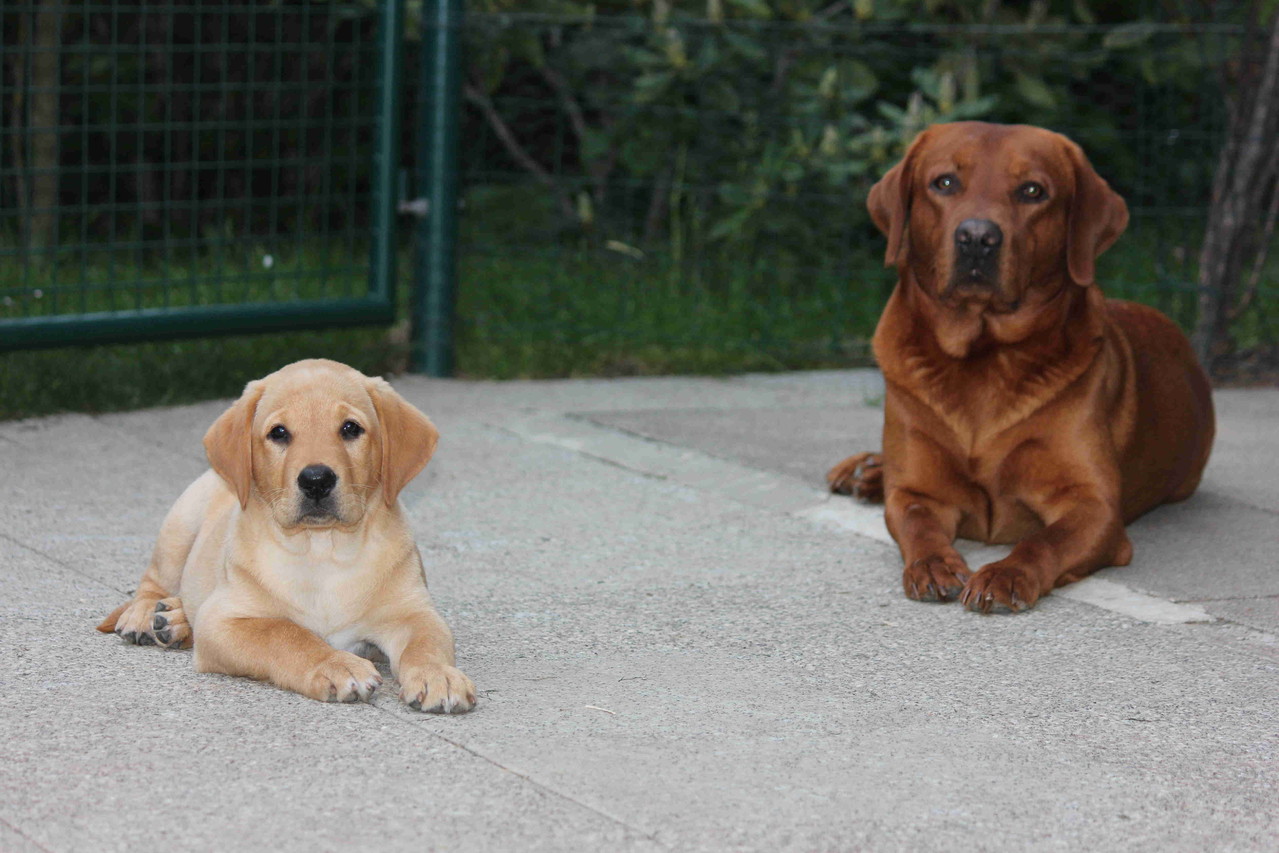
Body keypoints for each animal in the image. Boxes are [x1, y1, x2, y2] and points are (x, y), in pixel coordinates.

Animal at [95, 358, 475, 711]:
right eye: (278, 433)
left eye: (350, 428)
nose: (317, 480)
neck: (322, 551)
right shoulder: (223, 621)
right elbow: (285, 633)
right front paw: (337, 665)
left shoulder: (413, 611)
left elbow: (425, 643)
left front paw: (438, 675)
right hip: (181, 523)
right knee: (153, 581)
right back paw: (146, 615)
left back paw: (173, 619)